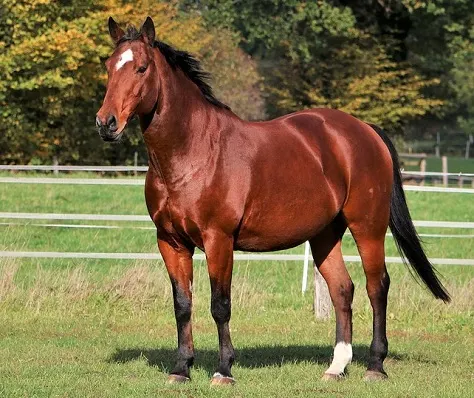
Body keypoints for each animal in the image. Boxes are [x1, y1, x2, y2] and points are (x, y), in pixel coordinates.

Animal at [95, 16, 448, 386]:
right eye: (108, 66)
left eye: (142, 68)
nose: (106, 123)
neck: (194, 150)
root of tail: (364, 130)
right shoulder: (170, 241)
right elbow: (183, 305)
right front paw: (181, 369)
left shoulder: (218, 240)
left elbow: (220, 305)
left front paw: (224, 370)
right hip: (325, 235)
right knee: (342, 289)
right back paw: (336, 367)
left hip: (368, 227)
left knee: (376, 286)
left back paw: (375, 365)